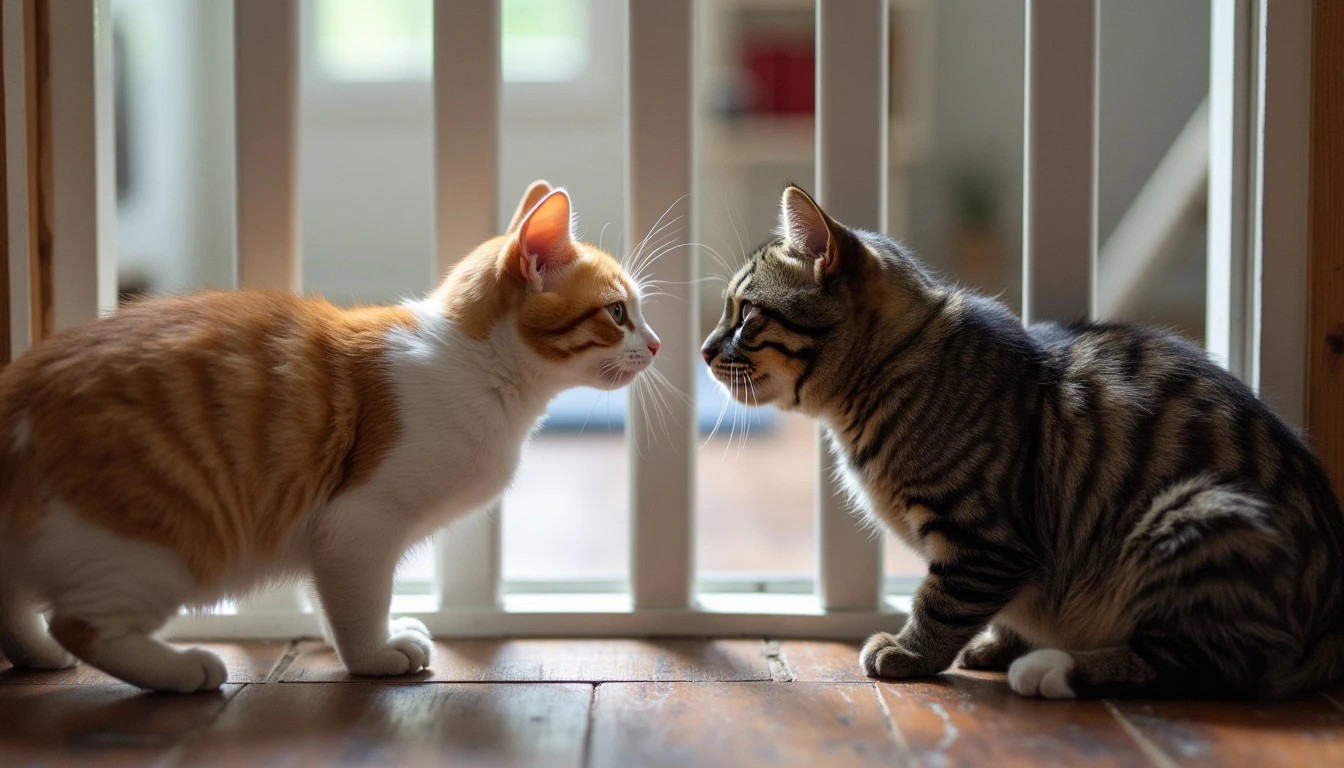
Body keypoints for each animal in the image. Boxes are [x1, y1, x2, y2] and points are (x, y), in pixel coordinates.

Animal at [0, 182, 655, 694]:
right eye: (618, 313)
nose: (654, 345)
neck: (476, 366)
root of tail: (18, 393)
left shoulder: (326, 541)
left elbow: (330, 595)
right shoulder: (358, 526)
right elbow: (360, 602)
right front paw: (374, 655)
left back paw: (37, 655)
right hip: (156, 544)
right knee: (80, 623)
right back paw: (180, 670)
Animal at [704, 184, 1344, 699]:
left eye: (746, 315)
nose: (705, 349)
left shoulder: (983, 539)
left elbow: (940, 601)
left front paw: (911, 651)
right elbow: (1003, 607)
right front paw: (997, 642)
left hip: (1195, 518)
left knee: (1203, 667)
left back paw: (1056, 669)